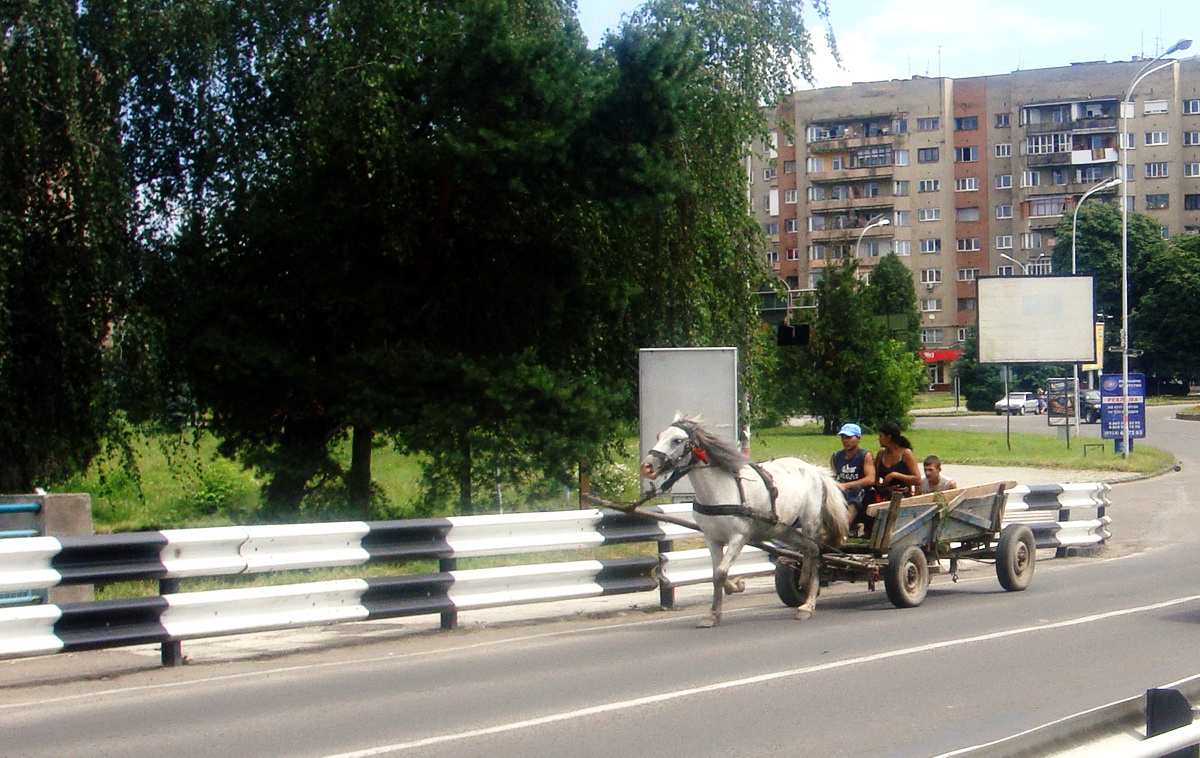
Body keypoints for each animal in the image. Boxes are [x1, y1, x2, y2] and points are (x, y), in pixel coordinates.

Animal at [643, 414, 849, 628]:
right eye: (659, 436)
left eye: (677, 440)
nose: (647, 467)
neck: (720, 490)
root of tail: (814, 470)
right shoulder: (712, 539)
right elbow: (717, 573)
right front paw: (715, 611)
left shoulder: (738, 537)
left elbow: (721, 571)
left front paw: (735, 587)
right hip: (784, 529)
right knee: (807, 550)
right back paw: (804, 582)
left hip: (810, 523)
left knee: (816, 553)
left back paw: (808, 605)